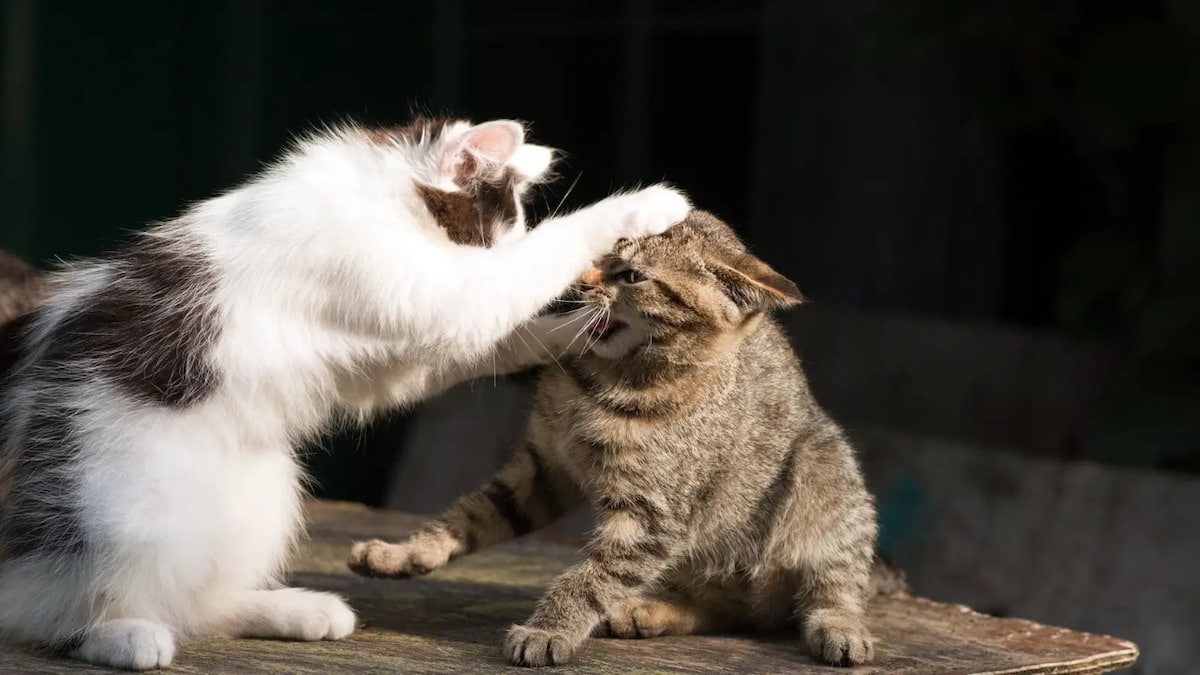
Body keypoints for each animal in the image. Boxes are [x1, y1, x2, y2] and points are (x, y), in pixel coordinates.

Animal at [0, 117, 691, 667]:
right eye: (508, 227)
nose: (514, 239)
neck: (383, 198)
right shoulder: (438, 290)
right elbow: (521, 274)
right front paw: (643, 204)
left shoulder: (395, 358)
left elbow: (499, 339)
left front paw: (590, 332)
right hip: (123, 511)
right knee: (67, 605)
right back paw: (122, 634)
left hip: (261, 492)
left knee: (198, 600)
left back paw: (292, 611)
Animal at [350, 208, 888, 662]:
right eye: (596, 254)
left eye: (631, 275)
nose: (576, 281)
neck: (602, 381)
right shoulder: (545, 467)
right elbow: (474, 513)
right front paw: (405, 553)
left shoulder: (650, 516)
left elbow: (592, 576)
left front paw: (548, 629)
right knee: (734, 611)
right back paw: (646, 610)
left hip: (825, 472)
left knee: (829, 586)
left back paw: (839, 628)